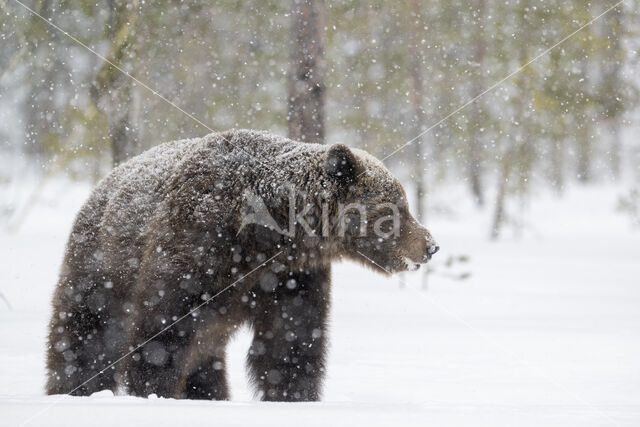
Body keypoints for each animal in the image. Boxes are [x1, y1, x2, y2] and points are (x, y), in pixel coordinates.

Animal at [43, 130, 436, 402]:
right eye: (397, 205)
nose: (430, 245)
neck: (266, 236)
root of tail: (104, 183)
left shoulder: (289, 277)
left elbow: (291, 337)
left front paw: (294, 394)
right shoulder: (198, 242)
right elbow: (163, 329)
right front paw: (155, 391)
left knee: (207, 357)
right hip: (100, 266)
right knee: (87, 333)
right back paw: (73, 388)